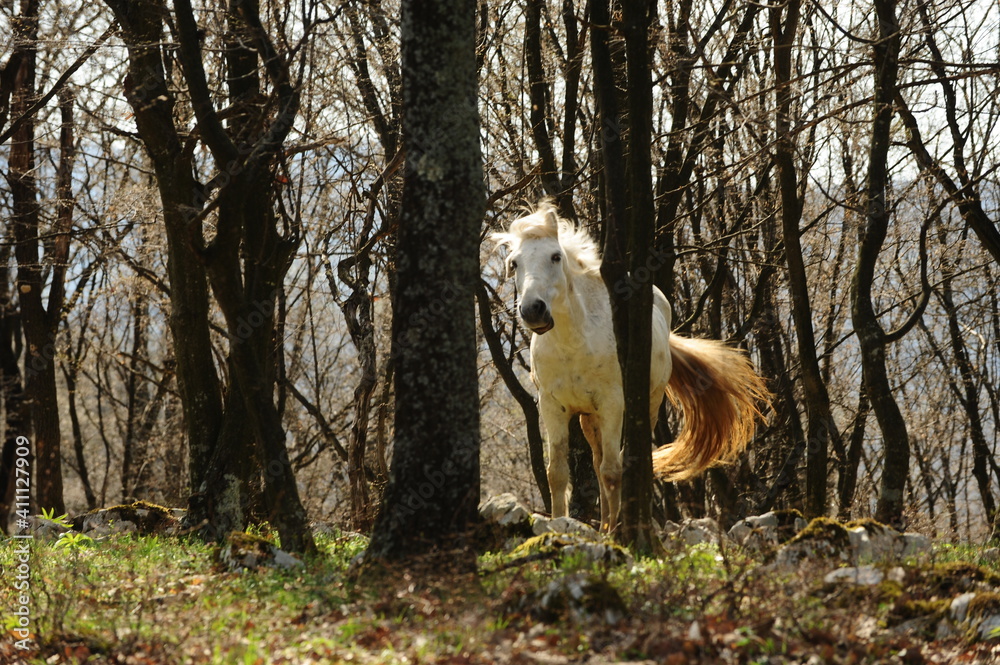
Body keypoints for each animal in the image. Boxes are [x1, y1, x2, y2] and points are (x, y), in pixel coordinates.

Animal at [493, 201, 770, 531]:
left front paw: (615, 531)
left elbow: (613, 471)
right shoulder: (551, 406)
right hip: (590, 418)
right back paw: (605, 523)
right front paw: (560, 524)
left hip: (647, 405)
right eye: (514, 263)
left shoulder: (612, 404)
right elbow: (557, 473)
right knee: (599, 465)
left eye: (555, 256)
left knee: (631, 463)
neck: (574, 342)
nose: (533, 310)